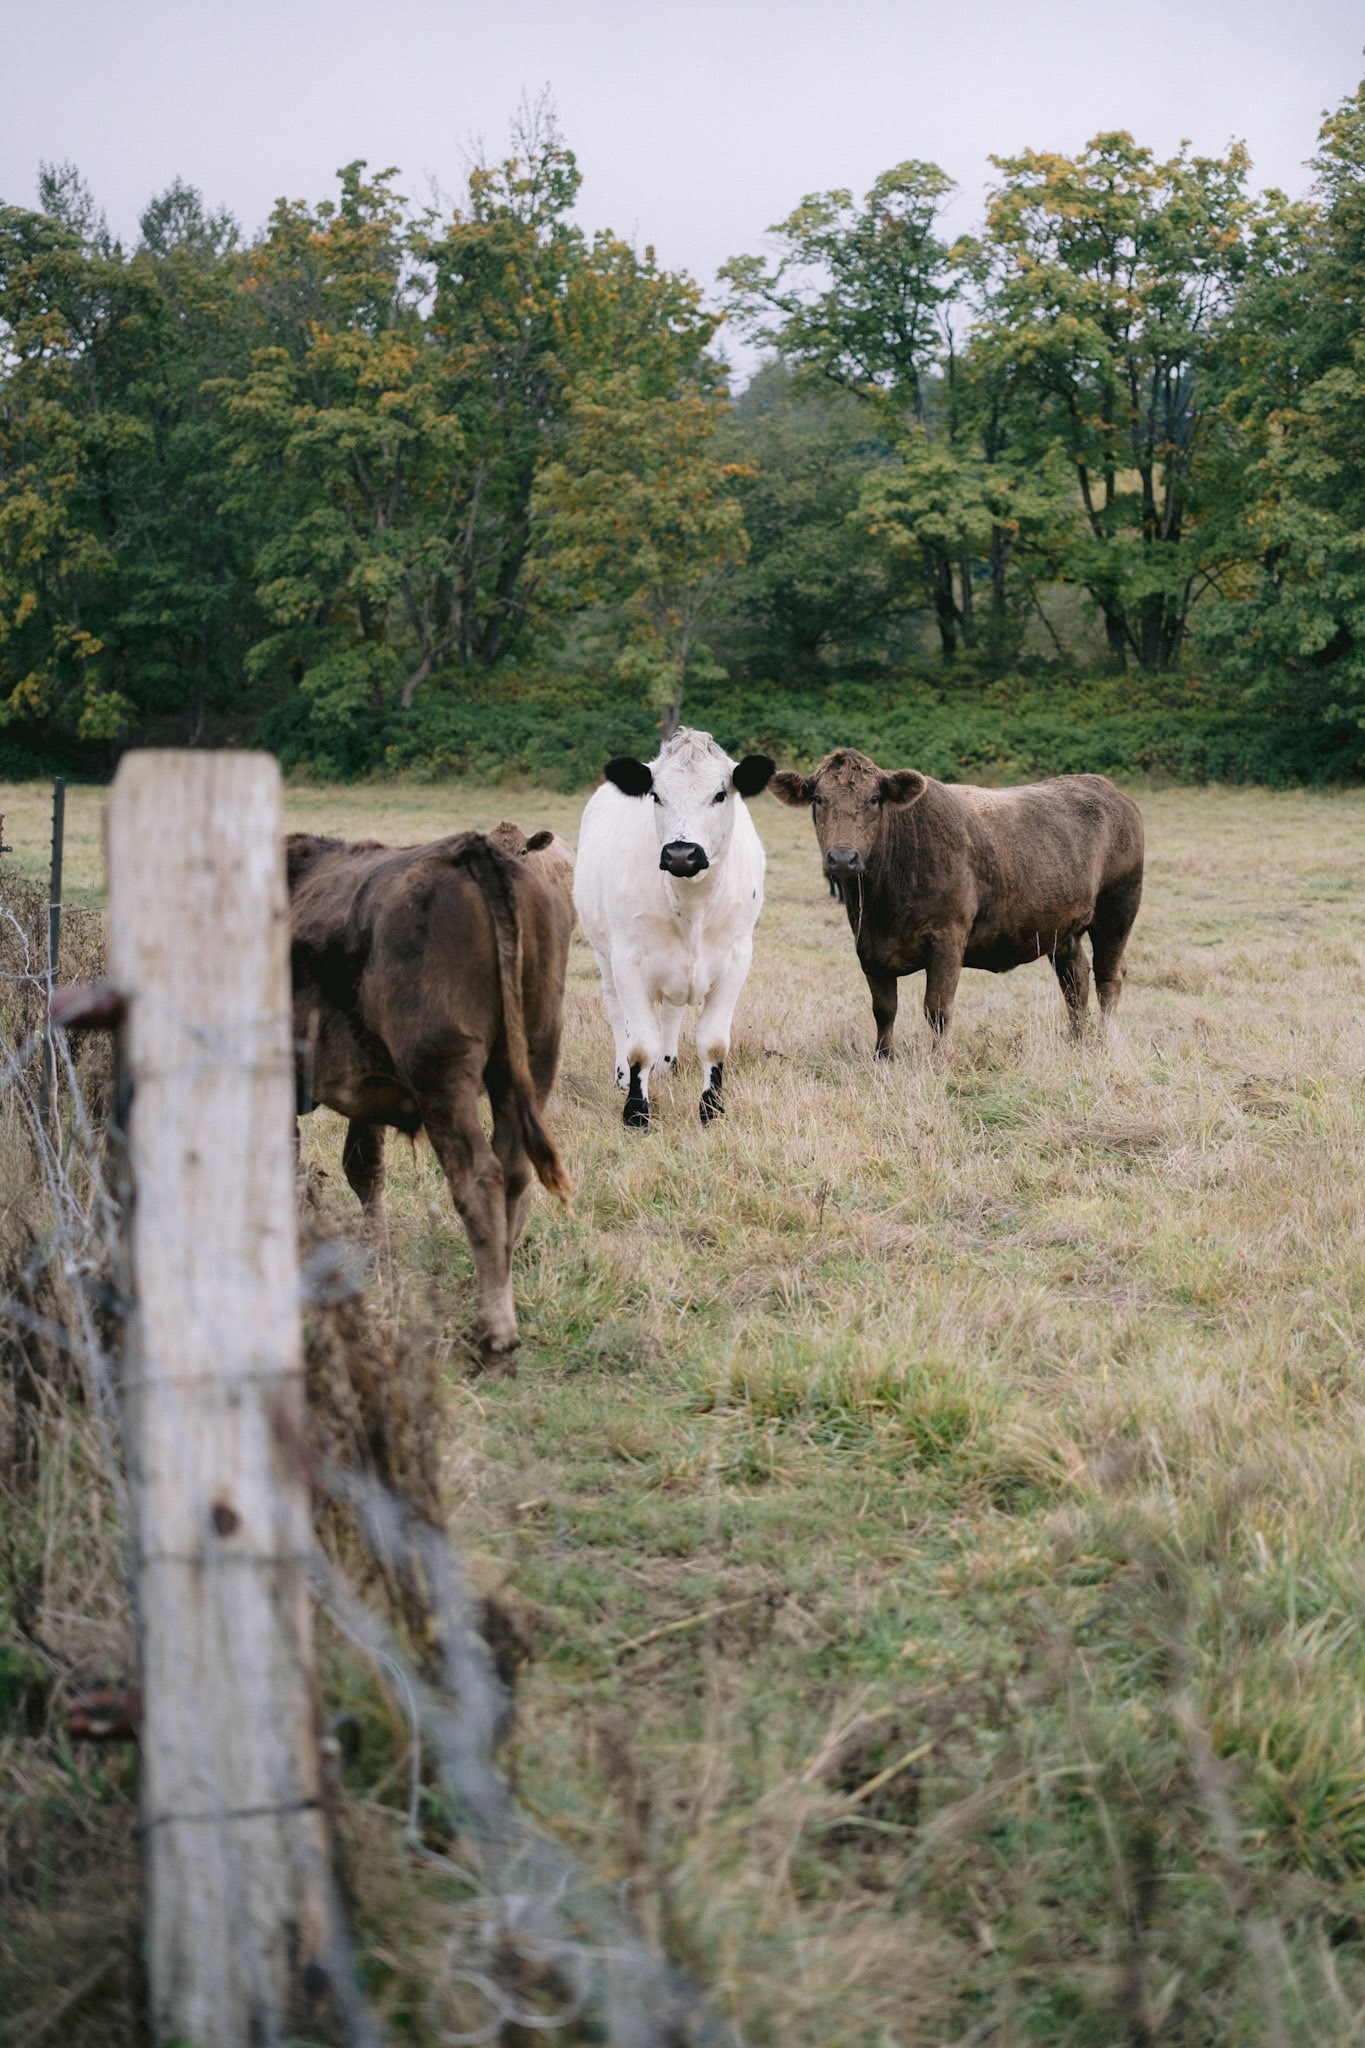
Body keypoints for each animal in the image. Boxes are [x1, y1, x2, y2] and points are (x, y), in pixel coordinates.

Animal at [287, 828, 574, 1361]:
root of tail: (474, 852)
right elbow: (364, 1169)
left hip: (443, 1079)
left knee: (479, 1179)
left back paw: (496, 1332)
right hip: (530, 1063)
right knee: (515, 1176)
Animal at [574, 727, 776, 1129]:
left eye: (719, 794)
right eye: (656, 795)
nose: (682, 853)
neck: (693, 907)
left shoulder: (737, 958)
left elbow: (713, 1040)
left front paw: (711, 1108)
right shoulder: (628, 959)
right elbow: (639, 1043)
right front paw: (636, 1111)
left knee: (670, 1013)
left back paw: (667, 1064)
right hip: (603, 953)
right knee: (616, 1012)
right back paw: (623, 1075)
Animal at [769, 750, 1143, 1053]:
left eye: (875, 798)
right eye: (818, 799)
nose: (843, 858)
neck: (882, 905)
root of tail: (1103, 786)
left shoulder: (948, 938)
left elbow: (937, 1008)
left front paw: (940, 1059)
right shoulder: (868, 947)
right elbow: (884, 1009)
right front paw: (883, 1057)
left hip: (1118, 908)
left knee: (1108, 976)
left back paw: (1103, 1040)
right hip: (1061, 927)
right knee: (1075, 979)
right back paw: (1076, 1040)